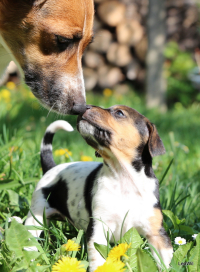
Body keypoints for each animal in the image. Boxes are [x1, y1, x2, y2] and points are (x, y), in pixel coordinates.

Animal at [25, 104, 173, 270]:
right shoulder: (98, 229)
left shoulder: (157, 234)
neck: (123, 178)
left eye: (119, 113)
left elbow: (165, 263)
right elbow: (98, 260)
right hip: (36, 216)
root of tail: (51, 168)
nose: (85, 106)